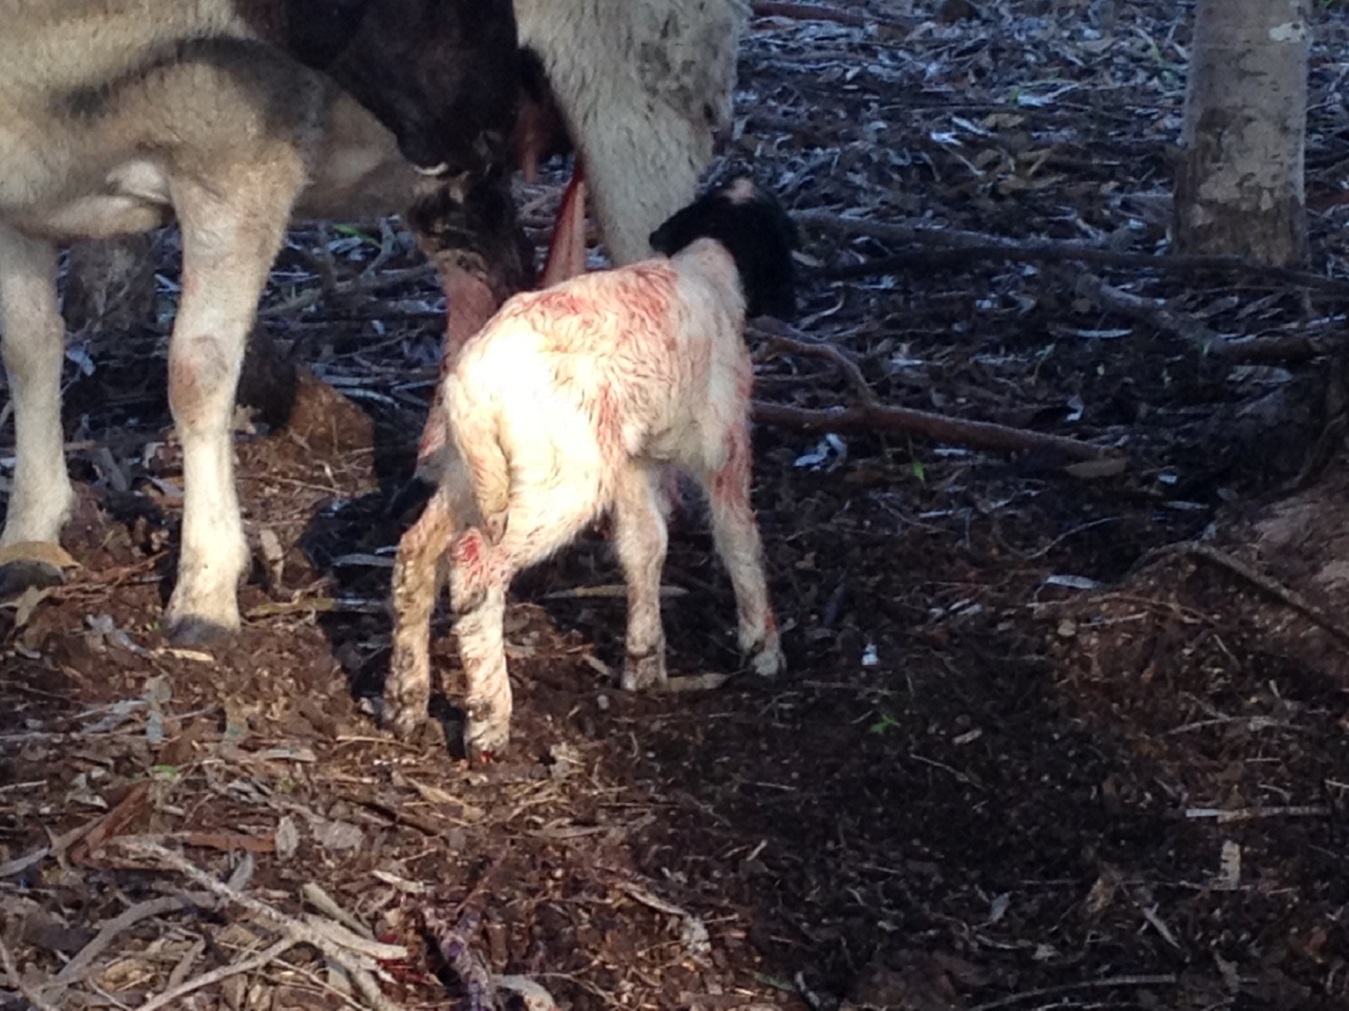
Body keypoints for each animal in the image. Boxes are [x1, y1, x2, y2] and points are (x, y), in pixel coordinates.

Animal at [383, 178, 798, 760]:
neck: (707, 266)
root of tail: (473, 387)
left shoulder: (633, 462)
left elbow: (645, 545)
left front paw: (644, 662)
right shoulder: (725, 447)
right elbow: (740, 542)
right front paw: (764, 648)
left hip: (477, 477)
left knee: (416, 554)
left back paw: (404, 699)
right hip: (558, 481)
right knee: (474, 566)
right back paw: (488, 720)